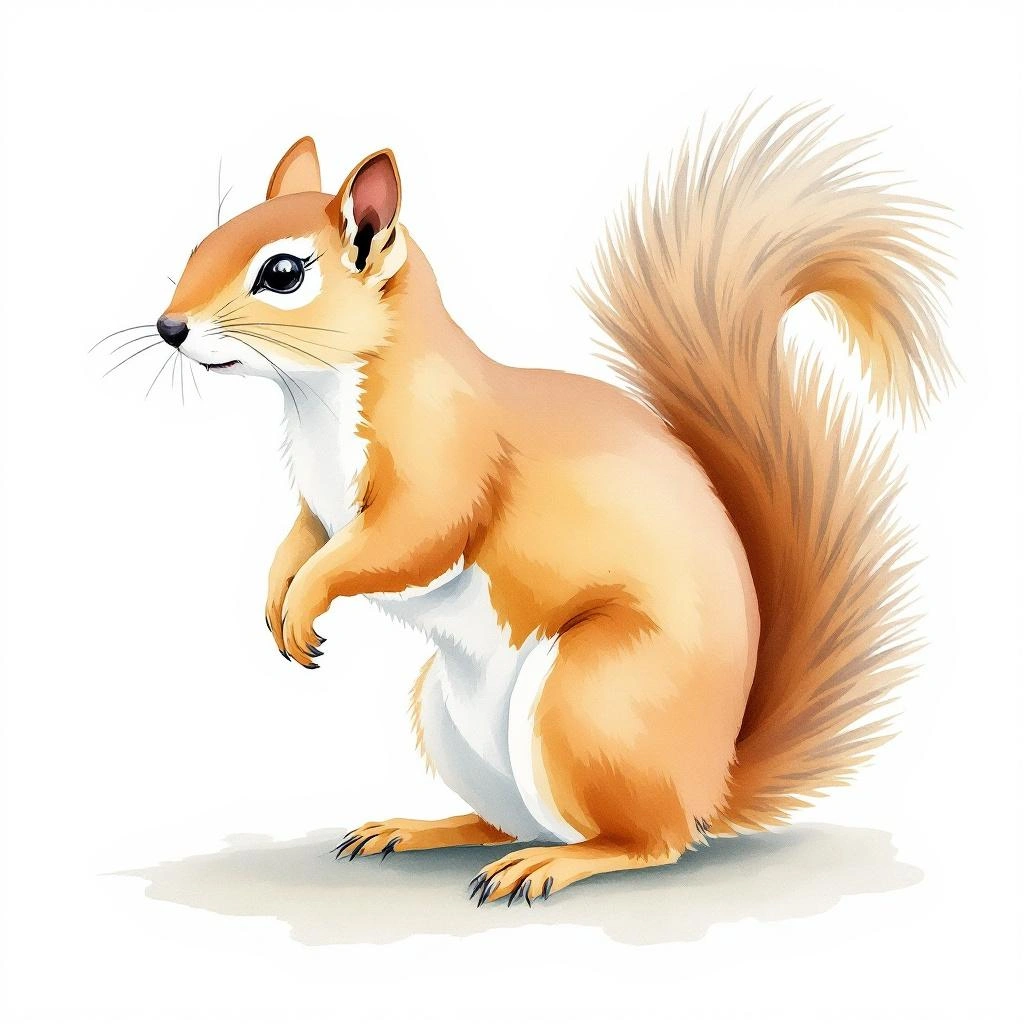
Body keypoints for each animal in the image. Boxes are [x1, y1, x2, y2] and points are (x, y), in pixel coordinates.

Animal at [146, 105, 952, 906]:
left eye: (282, 273)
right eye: (200, 244)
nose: (169, 327)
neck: (317, 398)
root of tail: (710, 785)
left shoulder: (445, 467)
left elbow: (407, 543)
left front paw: (305, 600)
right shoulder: (320, 507)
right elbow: (301, 537)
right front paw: (276, 597)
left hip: (590, 702)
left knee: (647, 843)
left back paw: (553, 866)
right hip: (451, 720)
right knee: (511, 821)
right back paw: (420, 829)